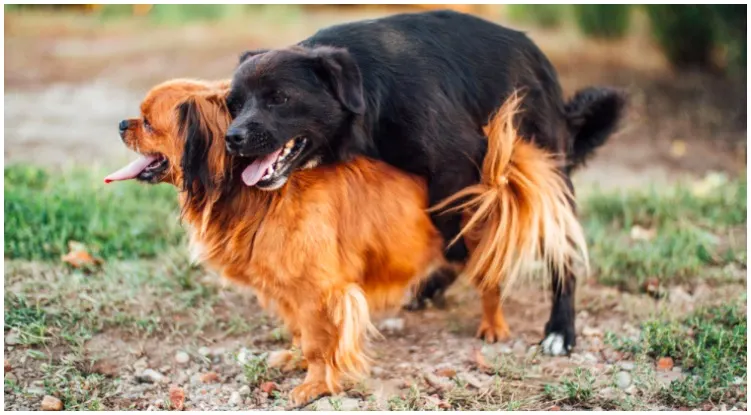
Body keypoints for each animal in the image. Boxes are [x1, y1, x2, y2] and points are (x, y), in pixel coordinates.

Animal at [226, 9, 624, 356]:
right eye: (234, 104)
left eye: (279, 98)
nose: (232, 138)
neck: (368, 86)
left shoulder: (458, 159)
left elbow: (448, 225)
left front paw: (464, 261)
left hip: (550, 178)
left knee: (563, 255)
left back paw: (559, 330)